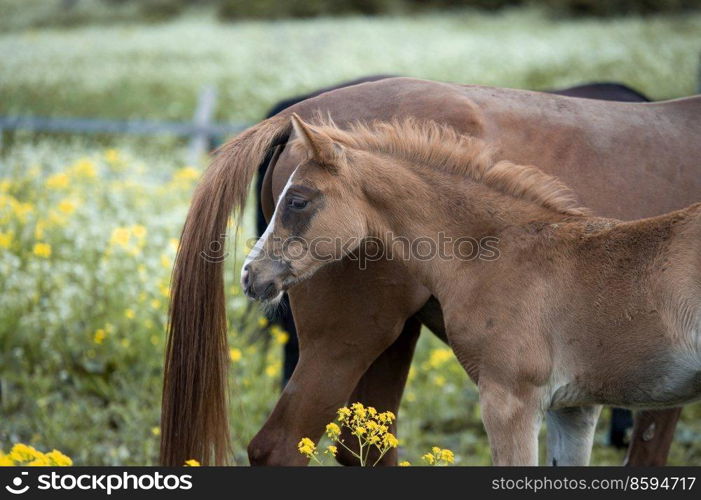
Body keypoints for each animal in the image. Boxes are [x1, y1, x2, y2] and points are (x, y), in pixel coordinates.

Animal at [161, 77, 696, 464]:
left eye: (299, 201)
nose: (251, 274)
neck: (517, 245)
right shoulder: (526, 400)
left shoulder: (570, 402)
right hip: (353, 337)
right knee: (284, 446)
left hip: (391, 337)